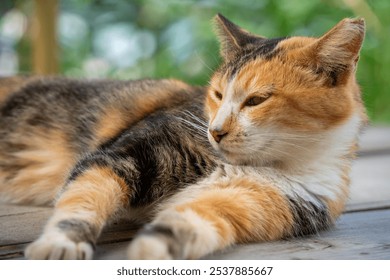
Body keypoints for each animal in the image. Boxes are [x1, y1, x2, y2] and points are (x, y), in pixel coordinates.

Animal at [0, 14, 366, 260]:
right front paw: (62, 243)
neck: (263, 164)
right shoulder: (121, 156)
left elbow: (196, 219)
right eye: (217, 94)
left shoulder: (257, 200)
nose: (216, 131)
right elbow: (85, 198)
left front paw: (153, 248)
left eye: (257, 100)